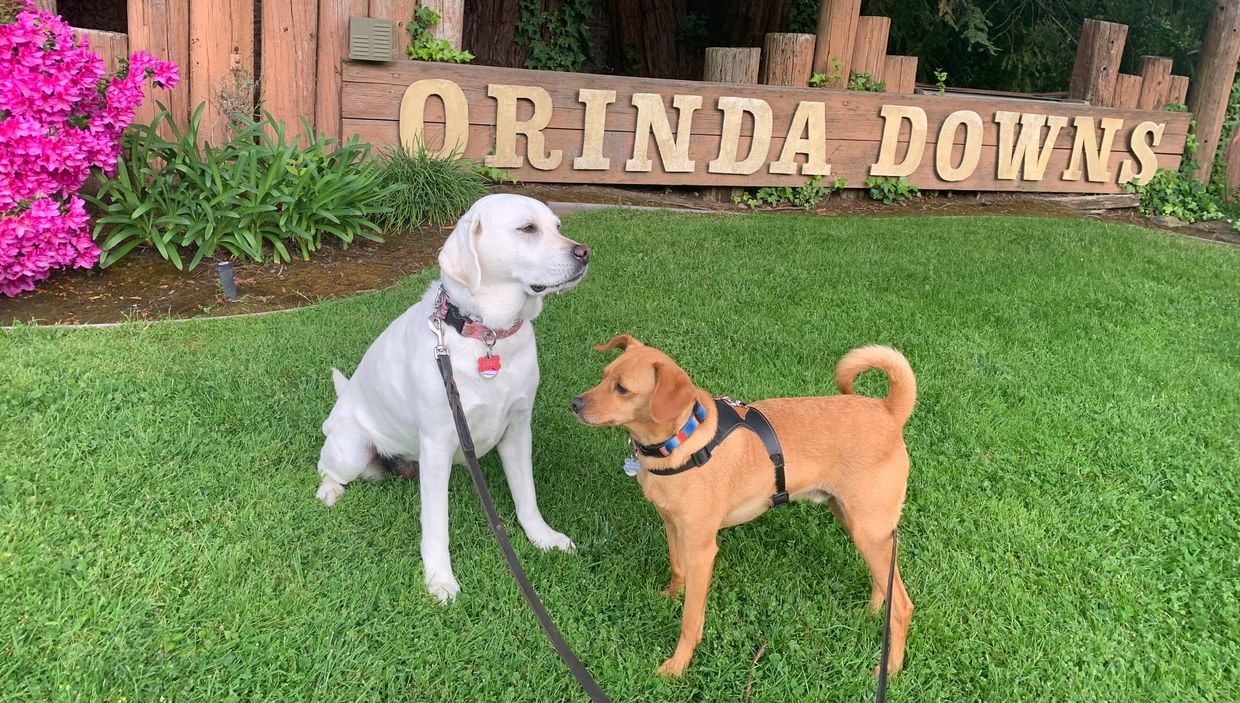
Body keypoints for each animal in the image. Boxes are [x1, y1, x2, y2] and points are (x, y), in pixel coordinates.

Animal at [316, 194, 589, 602]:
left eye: (557, 226)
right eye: (527, 228)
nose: (584, 253)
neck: (487, 334)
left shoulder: (518, 430)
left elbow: (527, 497)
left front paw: (543, 538)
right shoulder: (437, 444)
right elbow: (436, 524)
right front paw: (439, 579)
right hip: (352, 450)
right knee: (326, 466)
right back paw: (329, 491)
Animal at [572, 335, 915, 677]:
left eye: (622, 389)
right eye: (603, 376)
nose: (574, 404)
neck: (680, 443)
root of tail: (888, 412)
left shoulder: (701, 551)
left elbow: (690, 620)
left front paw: (677, 665)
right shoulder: (672, 526)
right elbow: (676, 568)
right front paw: (670, 597)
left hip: (868, 530)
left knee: (902, 605)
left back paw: (890, 668)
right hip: (857, 523)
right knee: (884, 580)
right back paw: (871, 613)